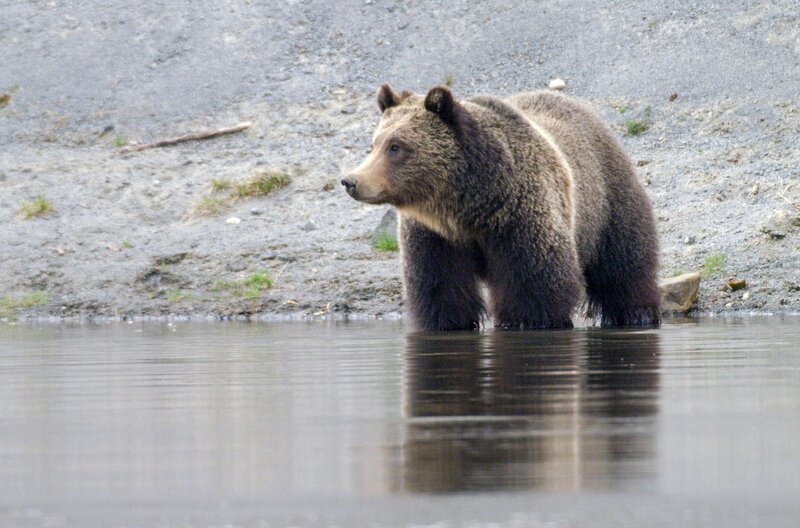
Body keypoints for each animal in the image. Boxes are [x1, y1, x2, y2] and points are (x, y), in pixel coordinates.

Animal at [341, 84, 661, 331]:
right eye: (374, 144)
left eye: (396, 146)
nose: (351, 181)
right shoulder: (434, 236)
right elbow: (440, 287)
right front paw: (448, 322)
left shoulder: (521, 216)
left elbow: (535, 284)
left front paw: (524, 320)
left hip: (605, 197)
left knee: (623, 262)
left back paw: (637, 312)